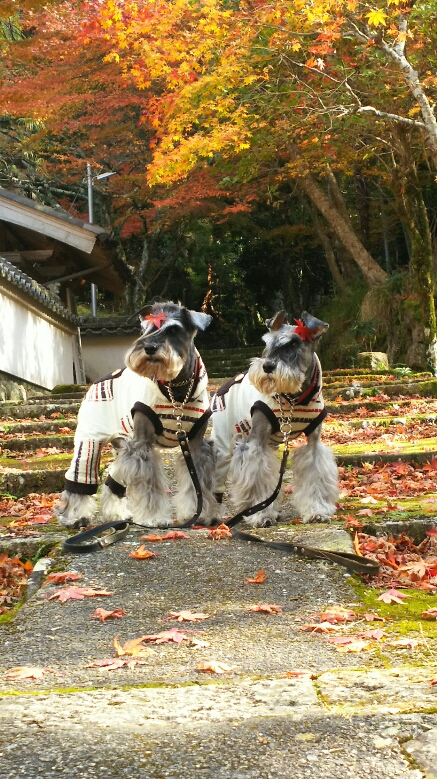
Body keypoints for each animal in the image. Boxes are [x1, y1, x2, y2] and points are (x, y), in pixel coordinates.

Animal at [55, 302, 218, 528]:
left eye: (173, 330)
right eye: (145, 329)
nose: (148, 348)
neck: (176, 388)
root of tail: (95, 383)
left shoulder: (195, 445)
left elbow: (197, 483)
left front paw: (199, 513)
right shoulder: (142, 444)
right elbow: (149, 485)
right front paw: (155, 517)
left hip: (123, 444)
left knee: (113, 480)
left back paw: (116, 515)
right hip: (90, 441)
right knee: (80, 477)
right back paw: (74, 516)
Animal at [209, 312, 338, 532]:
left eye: (294, 343)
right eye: (268, 342)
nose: (268, 366)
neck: (295, 399)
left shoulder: (313, 442)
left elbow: (315, 473)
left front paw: (317, 510)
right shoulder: (256, 443)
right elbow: (256, 478)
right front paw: (260, 515)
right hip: (223, 445)